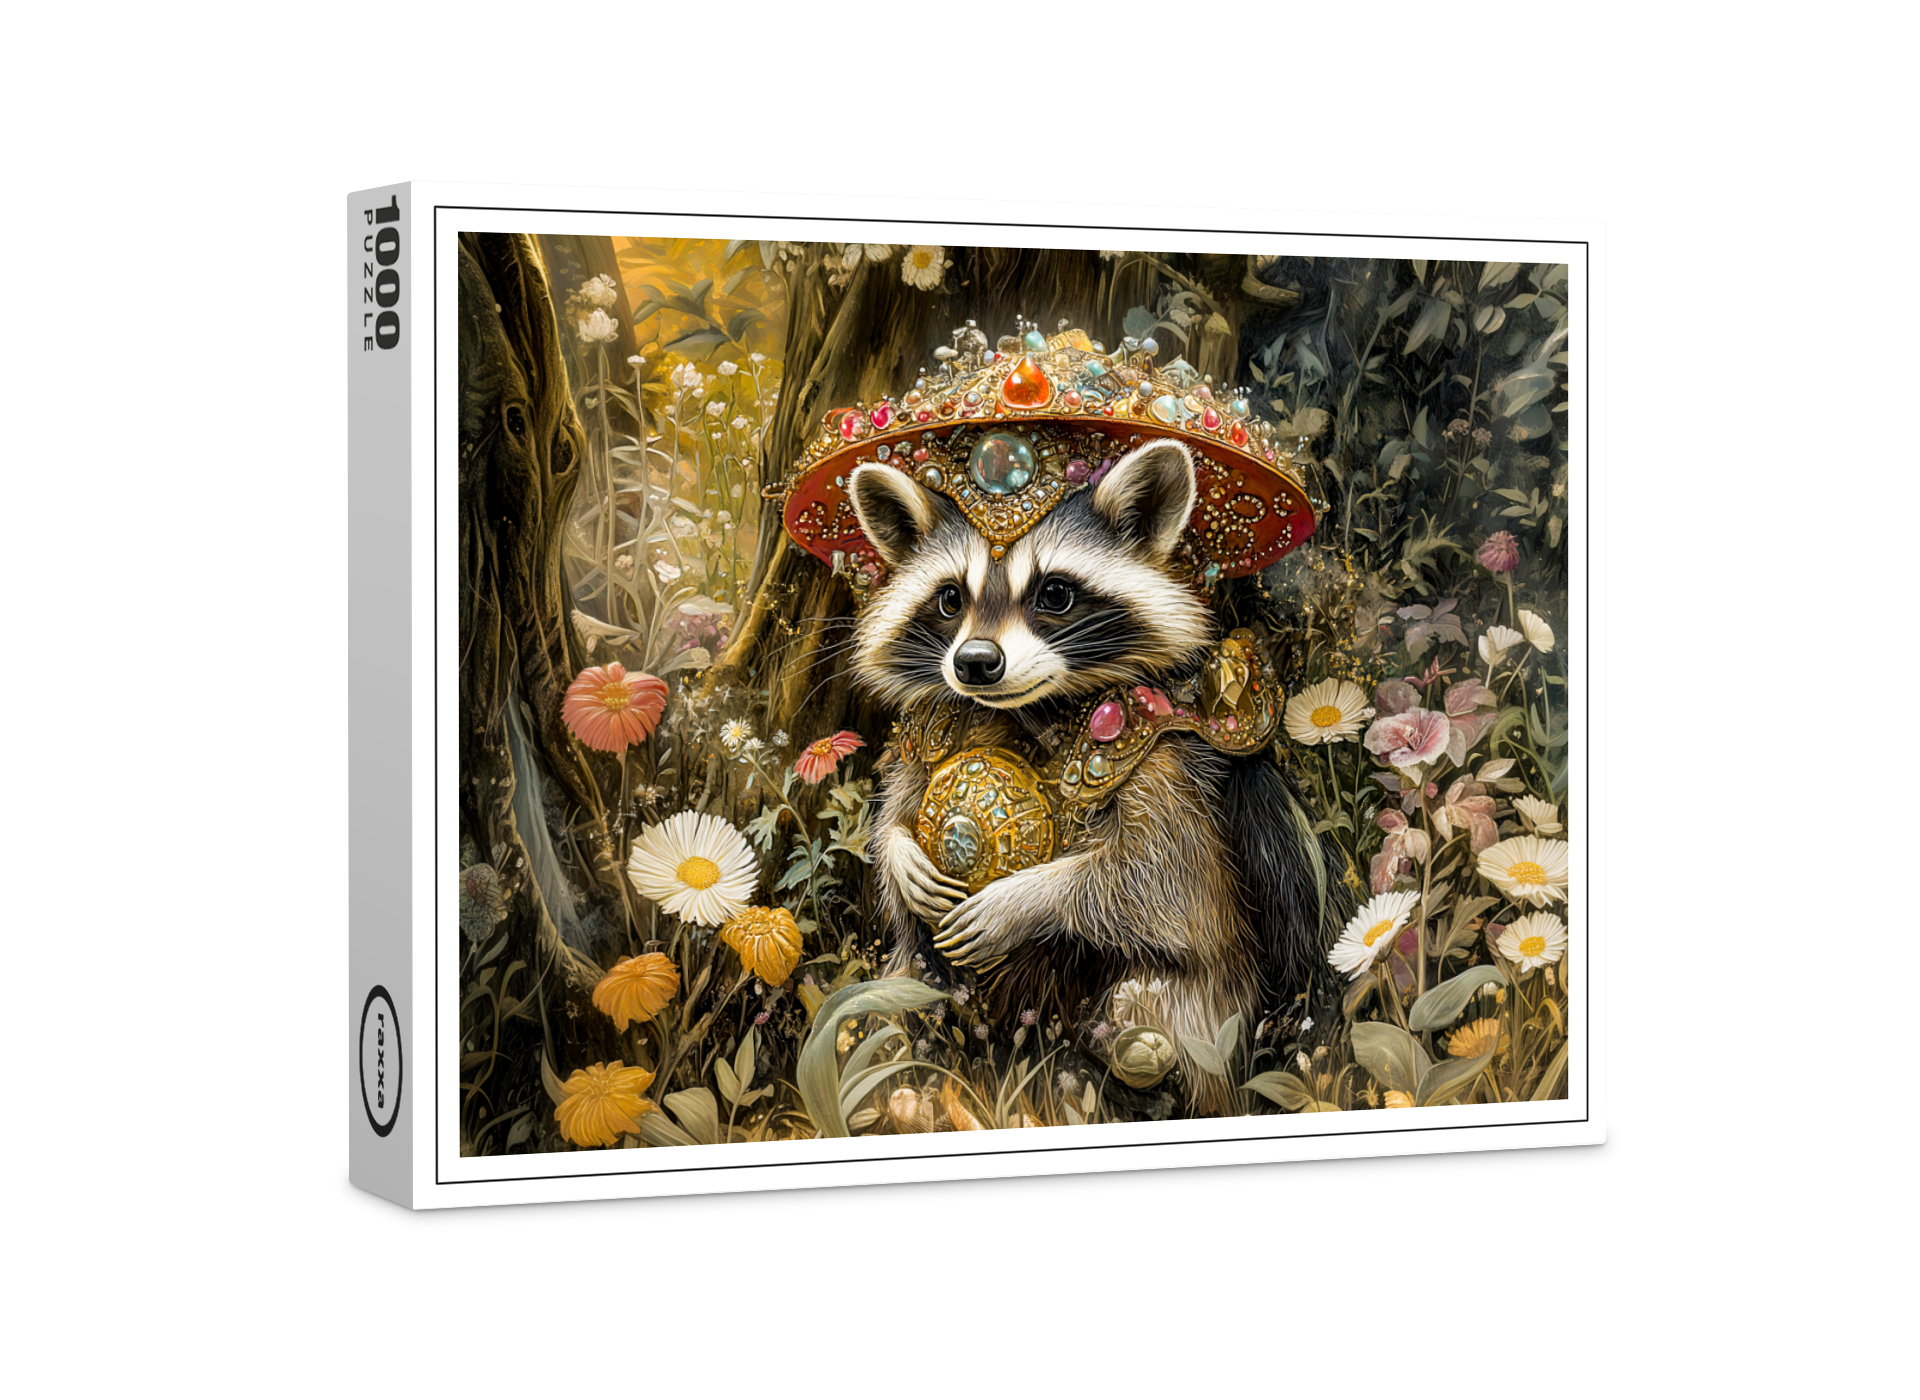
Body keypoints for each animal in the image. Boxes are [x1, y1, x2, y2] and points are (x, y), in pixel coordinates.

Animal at [847, 438, 1350, 1115]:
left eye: (1055, 594)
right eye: (950, 598)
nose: (975, 663)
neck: (1027, 711)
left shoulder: (1165, 758)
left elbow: (1152, 876)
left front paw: (1026, 897)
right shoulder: (933, 726)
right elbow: (898, 807)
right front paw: (901, 853)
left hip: (1209, 1006)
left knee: (1156, 1005)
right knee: (897, 997)